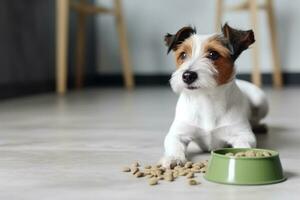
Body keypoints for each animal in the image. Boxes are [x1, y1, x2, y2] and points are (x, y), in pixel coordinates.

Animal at [161, 23, 268, 167]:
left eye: (213, 54)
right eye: (183, 55)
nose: (187, 75)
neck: (206, 98)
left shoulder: (243, 134)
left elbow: (244, 144)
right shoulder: (177, 133)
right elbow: (174, 144)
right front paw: (173, 158)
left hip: (261, 100)